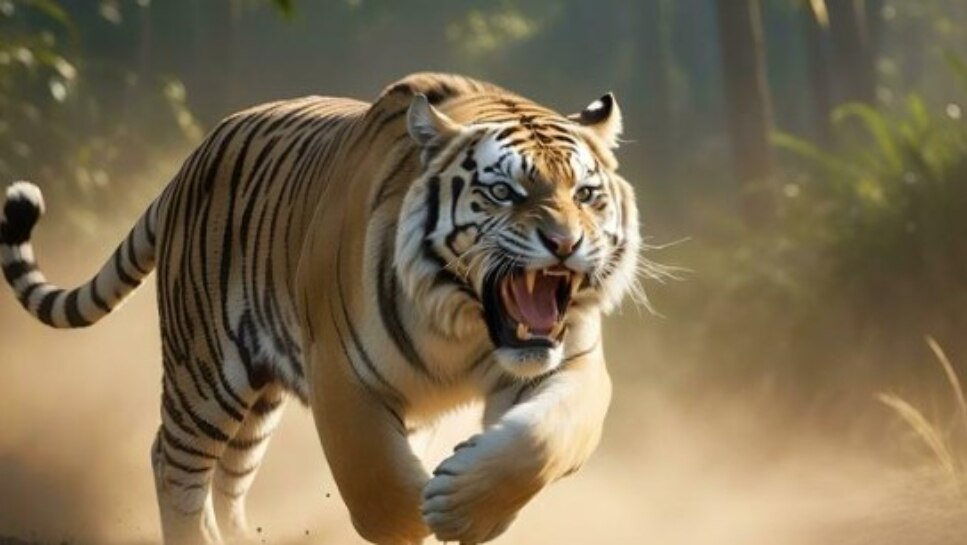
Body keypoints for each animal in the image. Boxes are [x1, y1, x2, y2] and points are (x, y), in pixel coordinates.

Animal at [0, 72, 641, 544]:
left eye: (586, 194)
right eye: (505, 192)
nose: (565, 243)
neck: (461, 323)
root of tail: (192, 159)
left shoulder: (571, 361)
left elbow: (542, 438)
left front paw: (471, 507)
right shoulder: (341, 368)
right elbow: (374, 475)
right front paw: (420, 512)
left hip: (257, 394)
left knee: (229, 476)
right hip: (204, 369)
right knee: (173, 462)